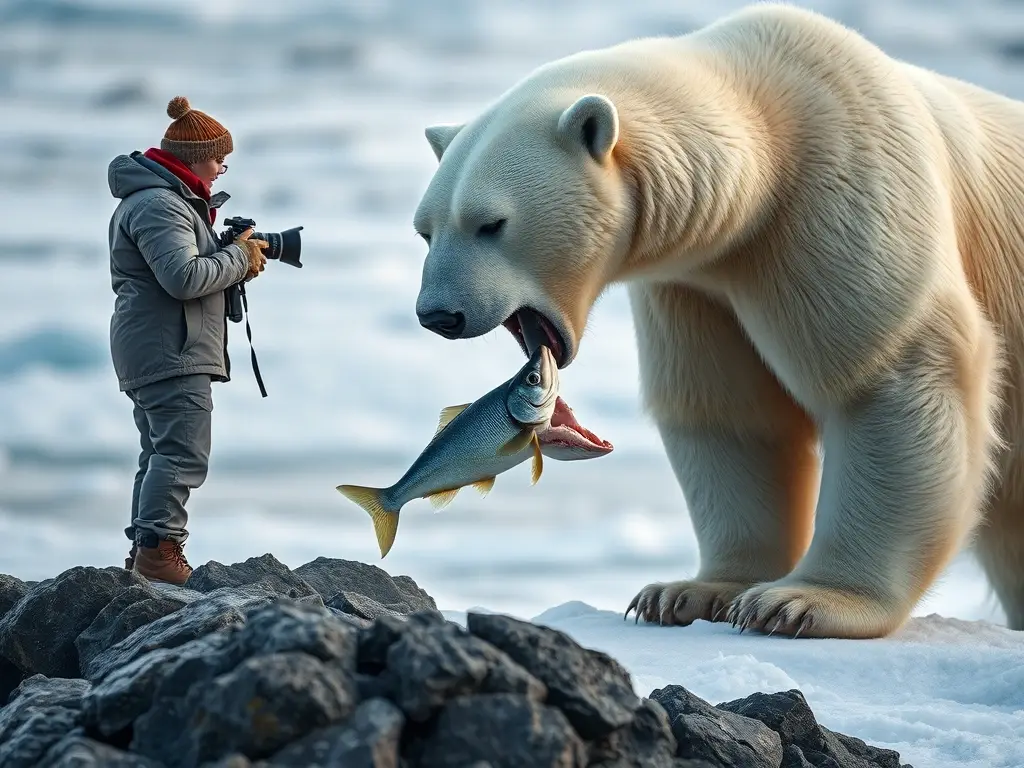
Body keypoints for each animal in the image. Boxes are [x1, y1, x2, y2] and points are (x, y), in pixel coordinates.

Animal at [410, 2, 1024, 638]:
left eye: (491, 223)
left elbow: (885, 376)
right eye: (426, 230)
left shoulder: (848, 198)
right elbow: (729, 411)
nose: (438, 314)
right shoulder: (696, 284)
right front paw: (688, 592)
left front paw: (802, 602)